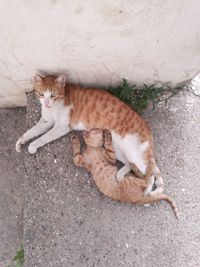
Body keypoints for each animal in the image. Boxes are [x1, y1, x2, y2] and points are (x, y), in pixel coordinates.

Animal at [16, 74, 164, 196]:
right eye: (41, 94)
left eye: (53, 95)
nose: (46, 103)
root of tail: (147, 128)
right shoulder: (46, 121)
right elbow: (32, 131)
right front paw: (21, 142)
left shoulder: (61, 127)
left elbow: (43, 137)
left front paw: (33, 146)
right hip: (118, 148)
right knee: (130, 164)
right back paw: (120, 175)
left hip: (134, 152)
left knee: (151, 172)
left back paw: (147, 190)